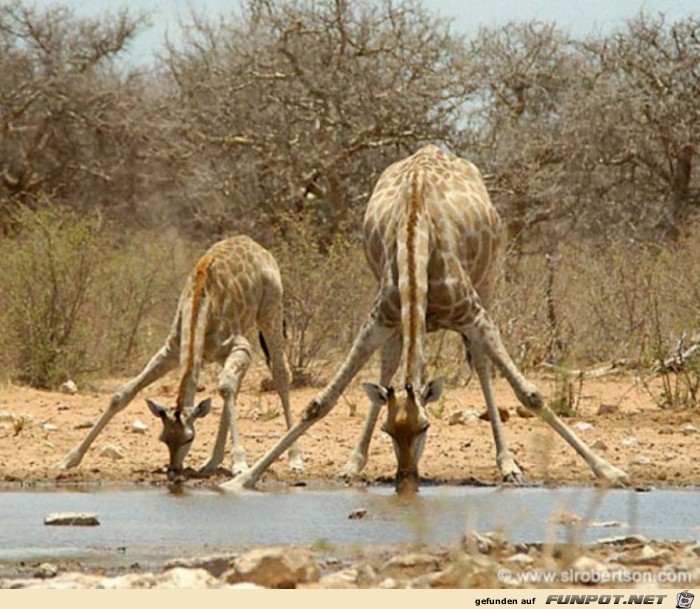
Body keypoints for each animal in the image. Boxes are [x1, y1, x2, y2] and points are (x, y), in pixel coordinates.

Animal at [57, 235, 304, 478]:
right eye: (163, 438)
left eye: (189, 438)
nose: (174, 470)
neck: (198, 309)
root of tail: (256, 245)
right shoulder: (171, 352)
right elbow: (122, 394)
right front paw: (68, 459)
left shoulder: (240, 345)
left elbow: (225, 387)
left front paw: (240, 463)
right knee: (237, 385)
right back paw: (211, 462)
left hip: (271, 309)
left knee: (280, 373)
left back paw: (295, 459)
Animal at [224, 147, 628, 494]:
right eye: (388, 430)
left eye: (425, 426)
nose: (405, 479)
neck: (416, 232)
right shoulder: (379, 317)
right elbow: (320, 402)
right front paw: (241, 480)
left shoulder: (474, 314)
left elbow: (530, 393)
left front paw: (610, 471)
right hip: (396, 316)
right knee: (389, 365)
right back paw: (353, 463)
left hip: (488, 282)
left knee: (482, 366)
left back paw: (508, 465)